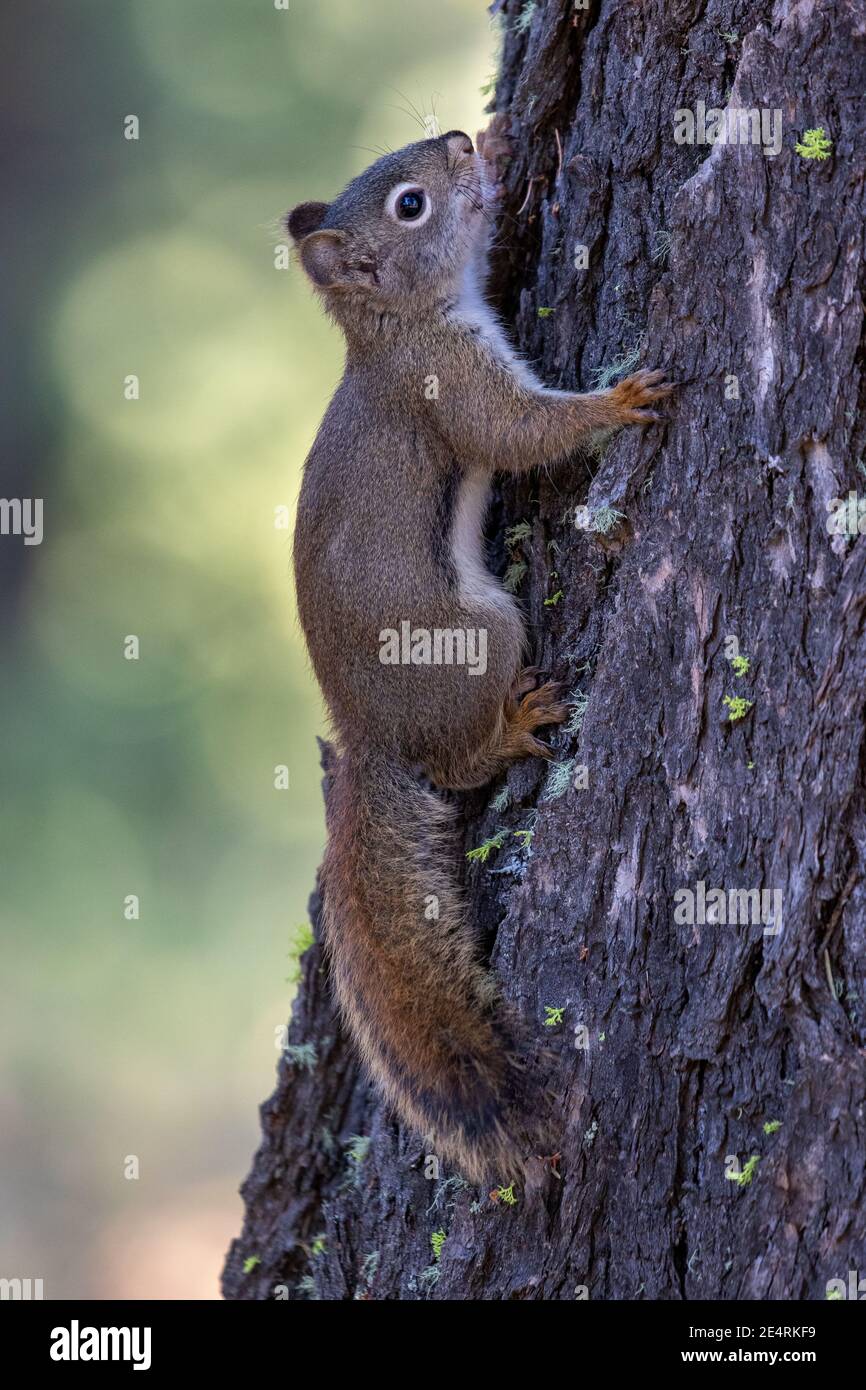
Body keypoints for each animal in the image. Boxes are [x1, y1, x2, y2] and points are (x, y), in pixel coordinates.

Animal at [286, 124, 672, 1184]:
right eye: (411, 205)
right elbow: (520, 430)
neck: (399, 326)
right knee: (463, 761)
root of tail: (368, 740)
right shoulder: (452, 385)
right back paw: (515, 726)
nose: (462, 141)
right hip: (483, 631)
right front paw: (617, 402)